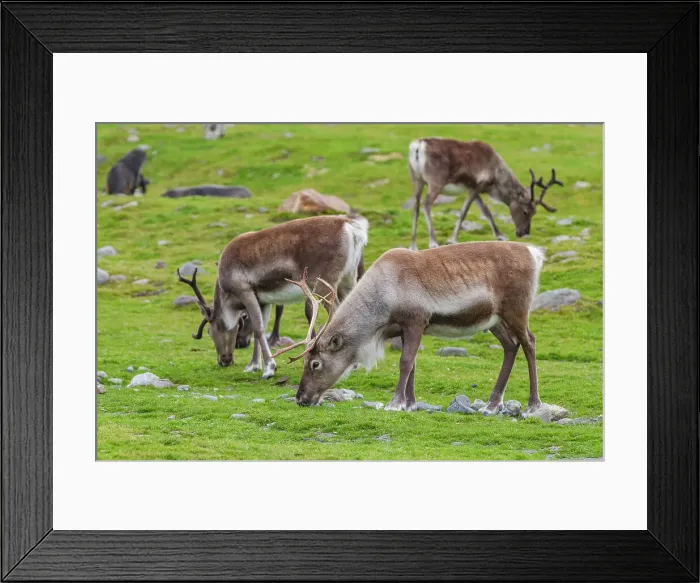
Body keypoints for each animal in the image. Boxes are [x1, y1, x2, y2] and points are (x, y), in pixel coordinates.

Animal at [176, 215, 368, 379]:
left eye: (210, 331)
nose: (223, 360)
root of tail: (350, 226)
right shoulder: (264, 301)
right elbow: (258, 328)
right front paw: (253, 365)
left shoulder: (245, 291)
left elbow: (258, 329)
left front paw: (269, 368)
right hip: (348, 280)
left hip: (324, 284)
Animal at [273, 241, 545, 416]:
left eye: (315, 364)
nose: (300, 398)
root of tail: (534, 253)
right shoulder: (404, 328)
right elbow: (412, 364)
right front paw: (410, 404)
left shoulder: (416, 320)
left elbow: (405, 362)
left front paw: (394, 404)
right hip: (493, 320)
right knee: (511, 346)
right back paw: (492, 404)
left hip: (516, 309)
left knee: (529, 342)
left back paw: (533, 404)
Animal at [408, 138, 563, 249]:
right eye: (525, 211)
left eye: (534, 212)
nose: (524, 232)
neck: (497, 176)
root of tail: (419, 145)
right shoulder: (478, 185)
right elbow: (464, 212)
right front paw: (451, 240)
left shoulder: (472, 189)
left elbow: (486, 211)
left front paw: (500, 235)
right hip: (435, 181)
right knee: (426, 204)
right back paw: (433, 242)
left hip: (417, 179)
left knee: (415, 206)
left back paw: (413, 245)